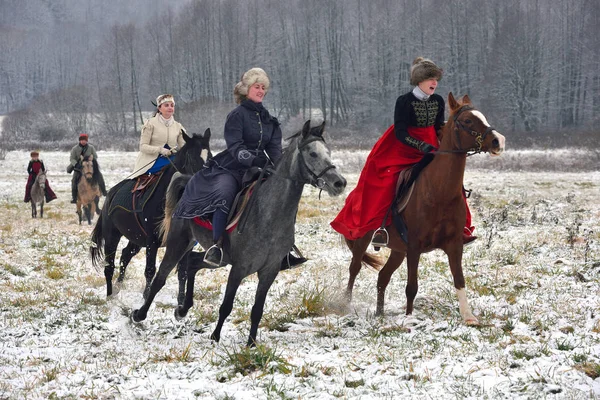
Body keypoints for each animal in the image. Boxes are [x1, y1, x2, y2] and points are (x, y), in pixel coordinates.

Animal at [89, 130, 211, 302]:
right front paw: (146, 297)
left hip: (136, 238)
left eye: (210, 157)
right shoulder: (152, 241)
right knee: (109, 266)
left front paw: (181, 302)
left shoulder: (185, 245)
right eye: (192, 157)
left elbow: (183, 272)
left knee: (125, 255)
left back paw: (118, 287)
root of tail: (111, 194)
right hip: (112, 235)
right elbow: (150, 270)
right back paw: (110, 295)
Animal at [131, 120, 346, 346]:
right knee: (160, 277)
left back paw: (182, 309)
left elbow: (257, 310)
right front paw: (215, 337)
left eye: (328, 152)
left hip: (217, 258)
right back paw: (139, 315)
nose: (339, 183)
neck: (268, 214)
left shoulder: (269, 271)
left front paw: (251, 344)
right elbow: (226, 305)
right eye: (312, 153)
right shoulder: (239, 268)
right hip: (178, 243)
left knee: (192, 263)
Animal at [344, 93, 504, 324]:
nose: (498, 141)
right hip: (364, 239)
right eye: (467, 121)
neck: (440, 191)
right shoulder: (414, 246)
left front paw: (468, 317)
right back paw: (346, 305)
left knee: (383, 276)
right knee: (354, 268)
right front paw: (409, 318)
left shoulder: (454, 245)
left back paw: (380, 313)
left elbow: (459, 279)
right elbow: (412, 286)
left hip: (397, 250)